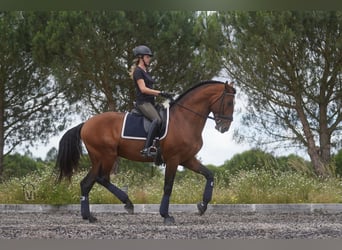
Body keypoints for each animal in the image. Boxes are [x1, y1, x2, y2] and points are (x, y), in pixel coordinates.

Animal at [55, 80, 235, 225]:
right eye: (229, 103)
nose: (224, 127)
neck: (185, 119)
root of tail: (86, 124)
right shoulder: (173, 159)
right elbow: (168, 186)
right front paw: (166, 215)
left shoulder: (187, 159)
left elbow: (209, 175)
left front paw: (202, 206)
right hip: (107, 155)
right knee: (102, 178)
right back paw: (128, 203)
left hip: (98, 158)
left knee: (86, 184)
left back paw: (89, 217)